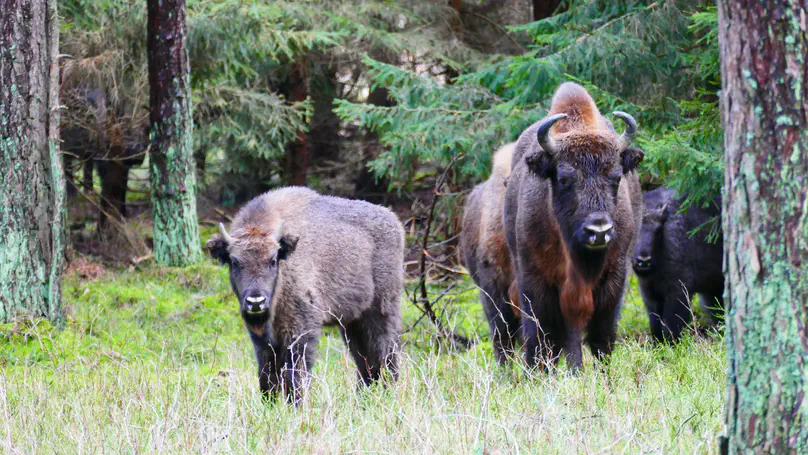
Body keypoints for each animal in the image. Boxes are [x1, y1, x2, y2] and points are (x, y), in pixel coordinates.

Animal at [207, 187, 404, 402]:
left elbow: (295, 375)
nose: (256, 301)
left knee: (386, 353)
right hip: (352, 323)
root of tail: (395, 222)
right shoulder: (263, 340)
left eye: (273, 260)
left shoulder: (301, 331)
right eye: (235, 262)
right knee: (365, 361)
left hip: (382, 311)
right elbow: (266, 375)